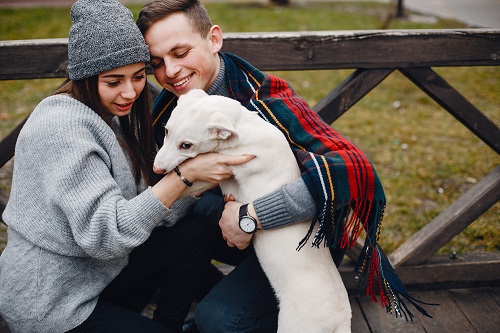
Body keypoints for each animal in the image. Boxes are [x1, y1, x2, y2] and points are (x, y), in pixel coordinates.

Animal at [153, 89, 352, 332]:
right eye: (166, 131)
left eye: (186, 145)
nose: (156, 168)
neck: (240, 127)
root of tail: (341, 319)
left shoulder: (227, 169)